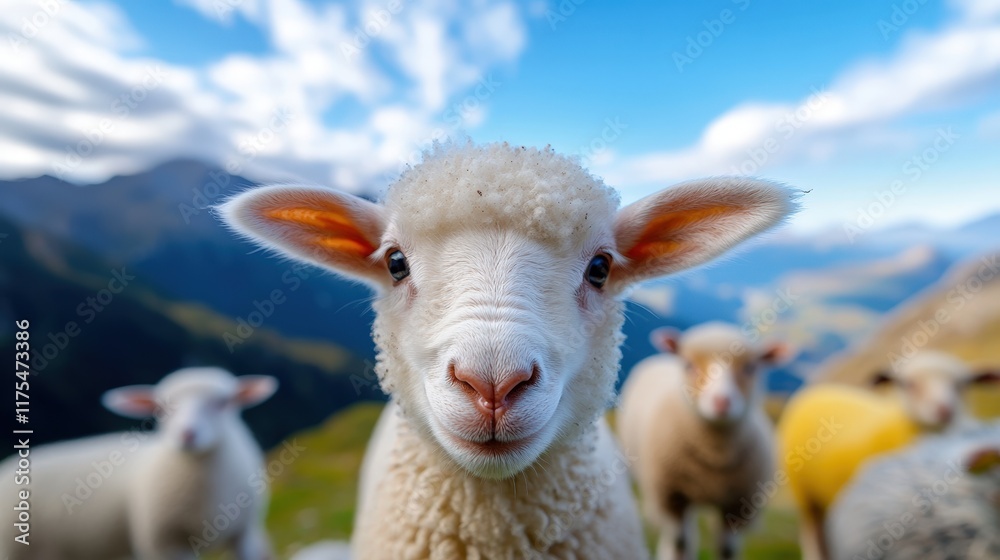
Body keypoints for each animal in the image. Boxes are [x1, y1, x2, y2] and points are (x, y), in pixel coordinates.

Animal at [616, 322, 792, 560]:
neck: (715, 455)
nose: (722, 402)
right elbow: (680, 543)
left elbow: (726, 549)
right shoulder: (673, 496)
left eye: (750, 368)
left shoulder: (738, 505)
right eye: (689, 366)